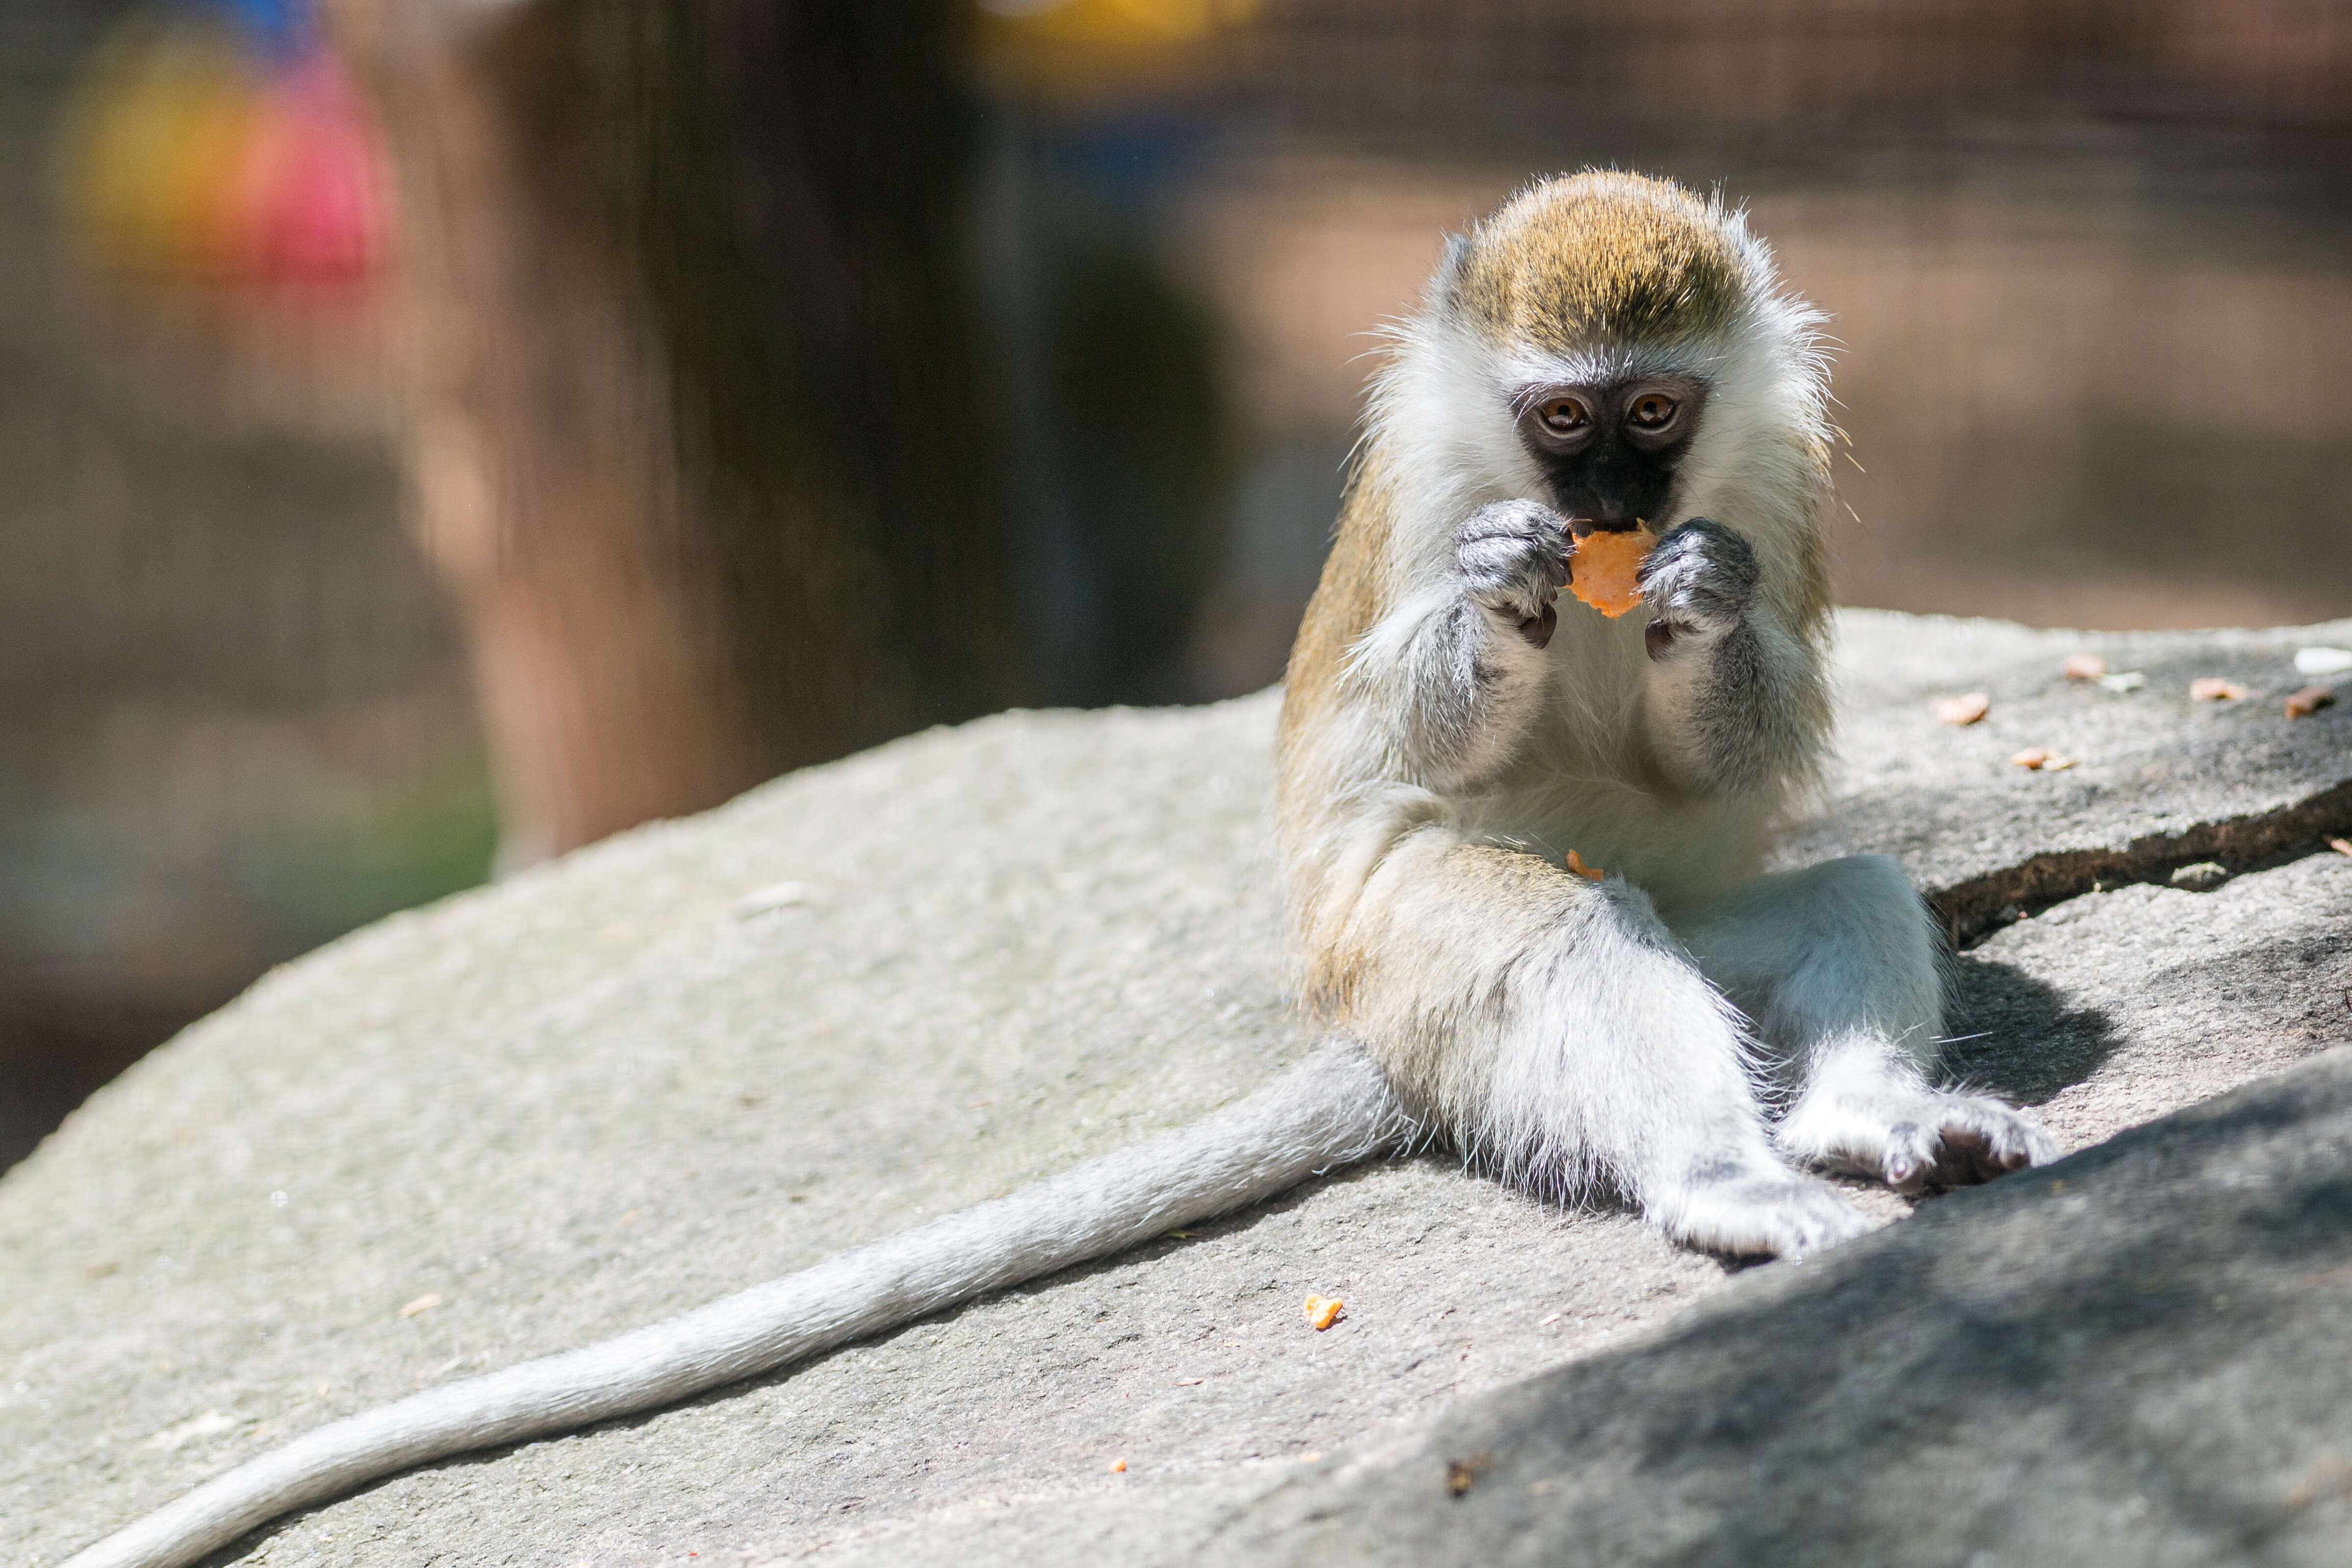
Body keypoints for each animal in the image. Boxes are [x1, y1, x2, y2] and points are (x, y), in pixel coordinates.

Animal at [69, 172, 2041, 1568]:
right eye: (1564, 424)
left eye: (1655, 411)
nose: (1618, 516)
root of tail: (1355, 1021)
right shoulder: (1427, 474)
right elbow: (1387, 736)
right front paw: (1500, 590)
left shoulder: (1774, 464)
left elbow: (1740, 749)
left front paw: (1701, 601)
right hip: (1398, 949)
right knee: (1560, 932)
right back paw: (1725, 1173)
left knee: (1852, 893)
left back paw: (1873, 1119)